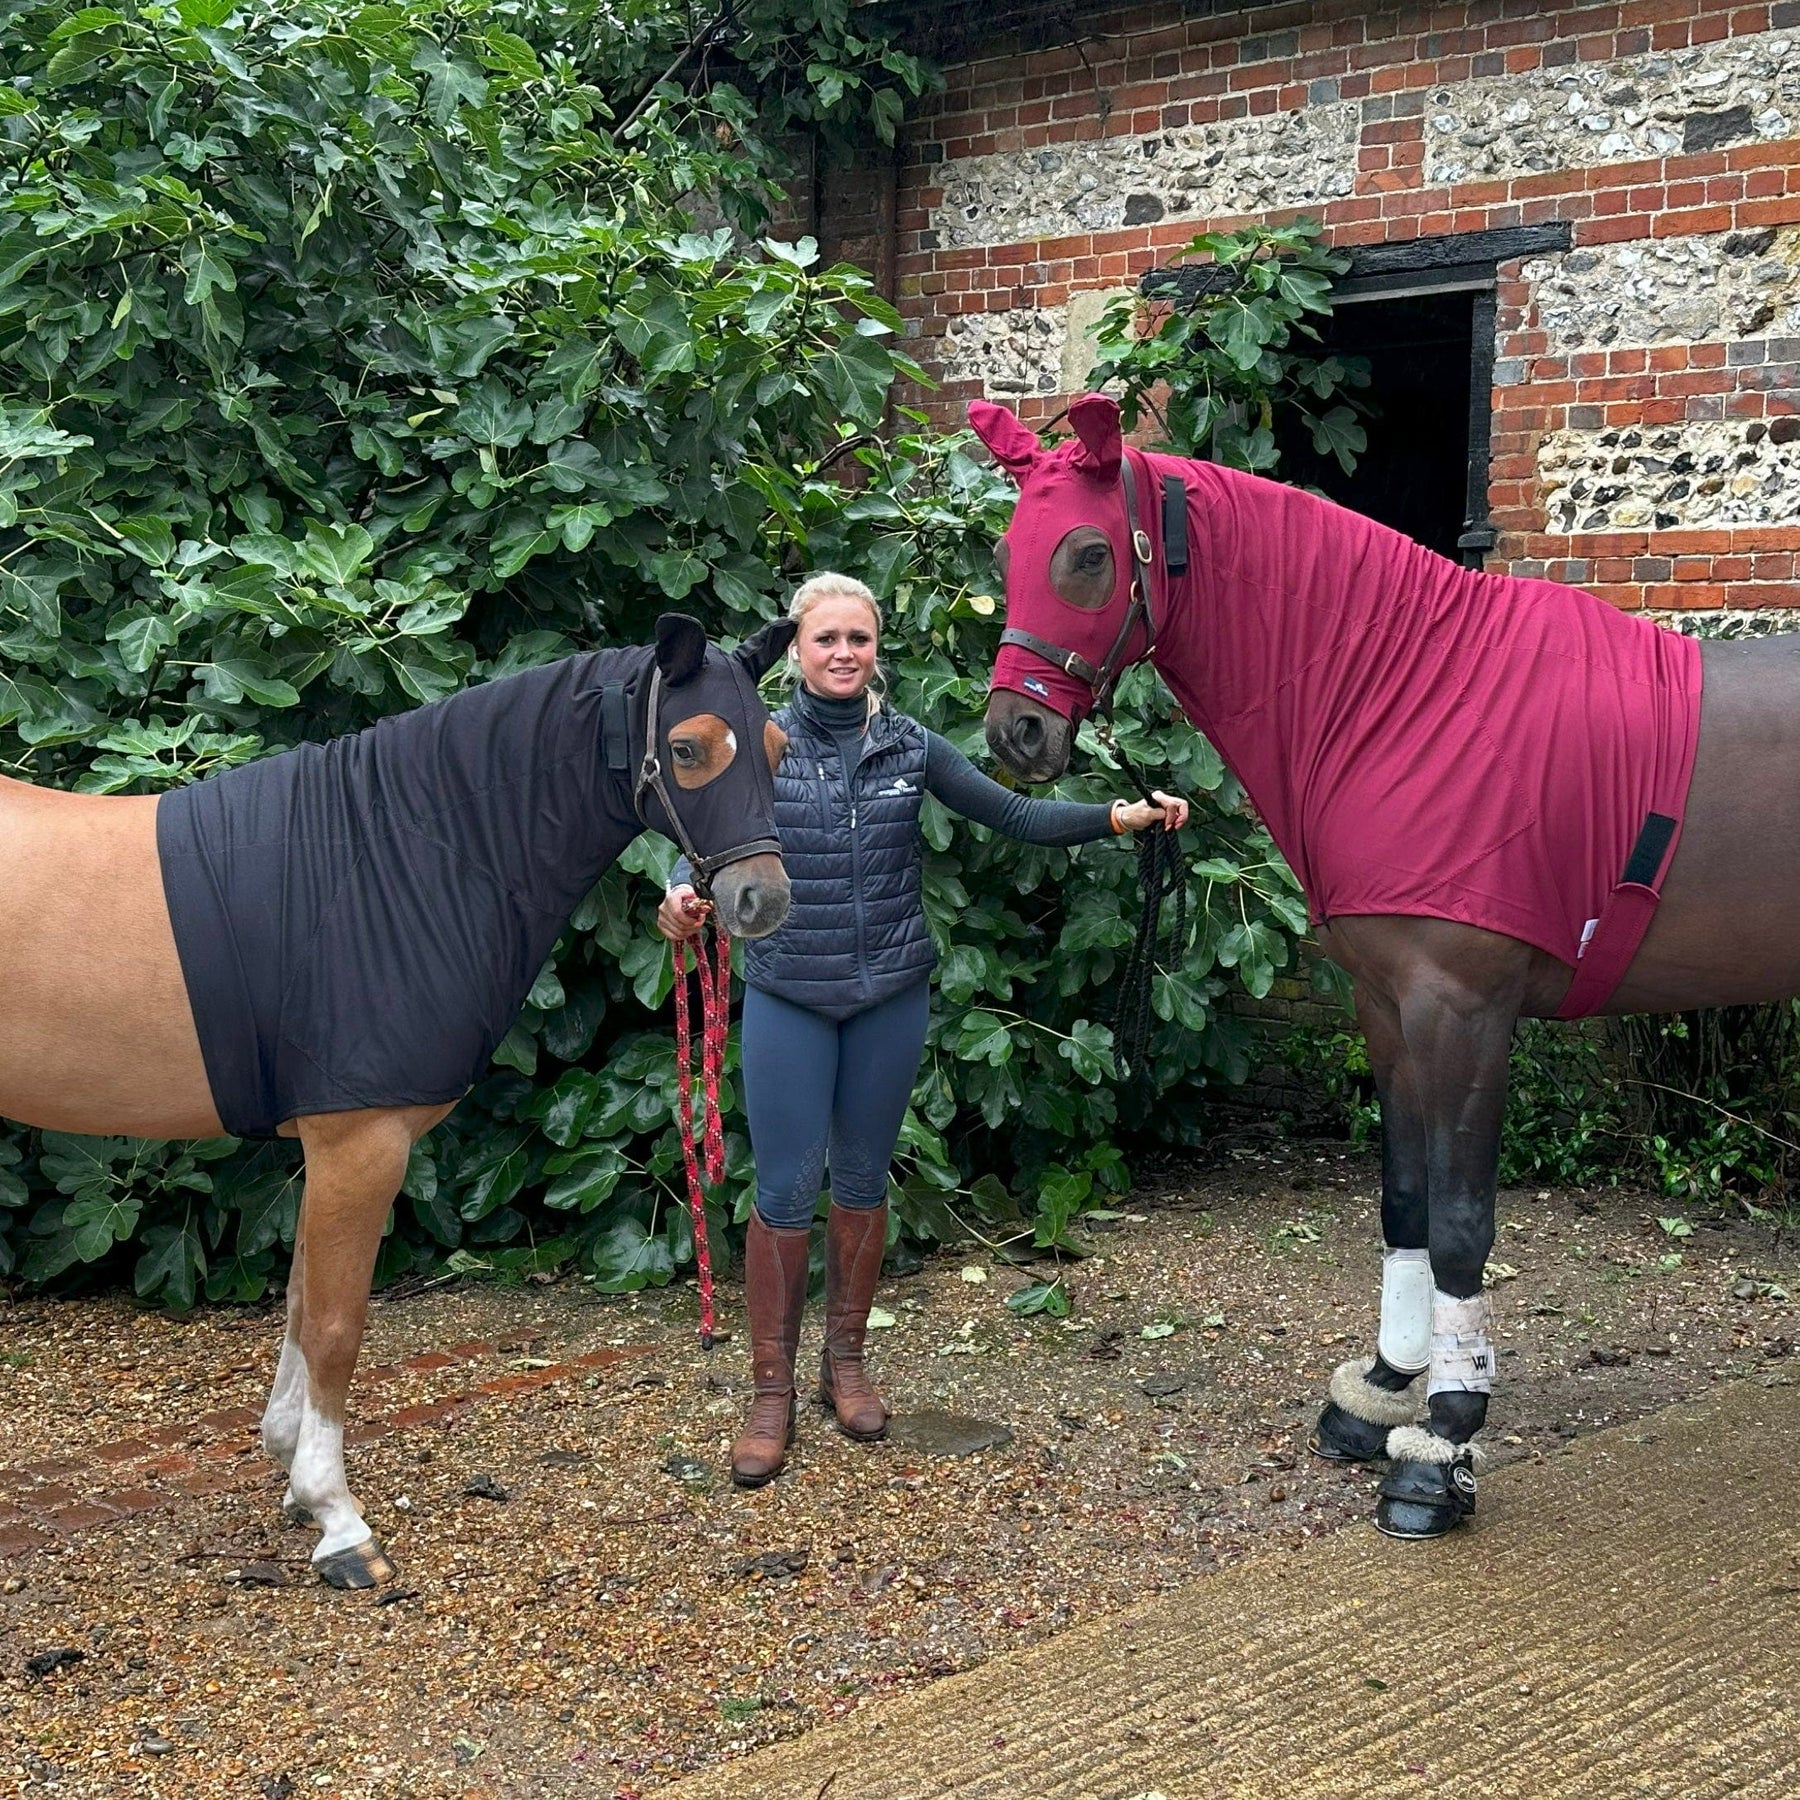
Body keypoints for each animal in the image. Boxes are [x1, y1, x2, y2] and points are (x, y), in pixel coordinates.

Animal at [0, 612, 795, 1586]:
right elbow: (336, 1324)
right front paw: (337, 1521)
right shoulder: (360, 1143)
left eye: (777, 747)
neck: (396, 858)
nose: (762, 900)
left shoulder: (324, 1150)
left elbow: (300, 1302)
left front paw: (291, 1468)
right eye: (686, 748)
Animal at [972, 390, 1800, 1540]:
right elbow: (1404, 1198)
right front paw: (1381, 1392)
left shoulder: (1465, 1011)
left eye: (1089, 553)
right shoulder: (1387, 1005)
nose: (1017, 732)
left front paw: (1440, 1447)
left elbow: (1457, 1224)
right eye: (1008, 551)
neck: (1411, 705)